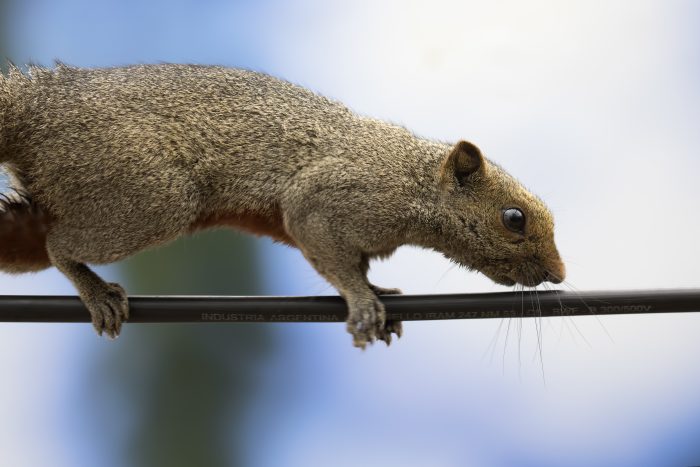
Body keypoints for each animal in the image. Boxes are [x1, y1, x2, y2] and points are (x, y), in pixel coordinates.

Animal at [0, 63, 565, 348]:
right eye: (514, 218)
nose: (559, 275)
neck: (410, 179)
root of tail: (37, 111)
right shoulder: (325, 202)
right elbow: (334, 257)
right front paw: (363, 305)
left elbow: (356, 264)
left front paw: (379, 291)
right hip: (152, 195)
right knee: (58, 244)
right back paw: (97, 294)